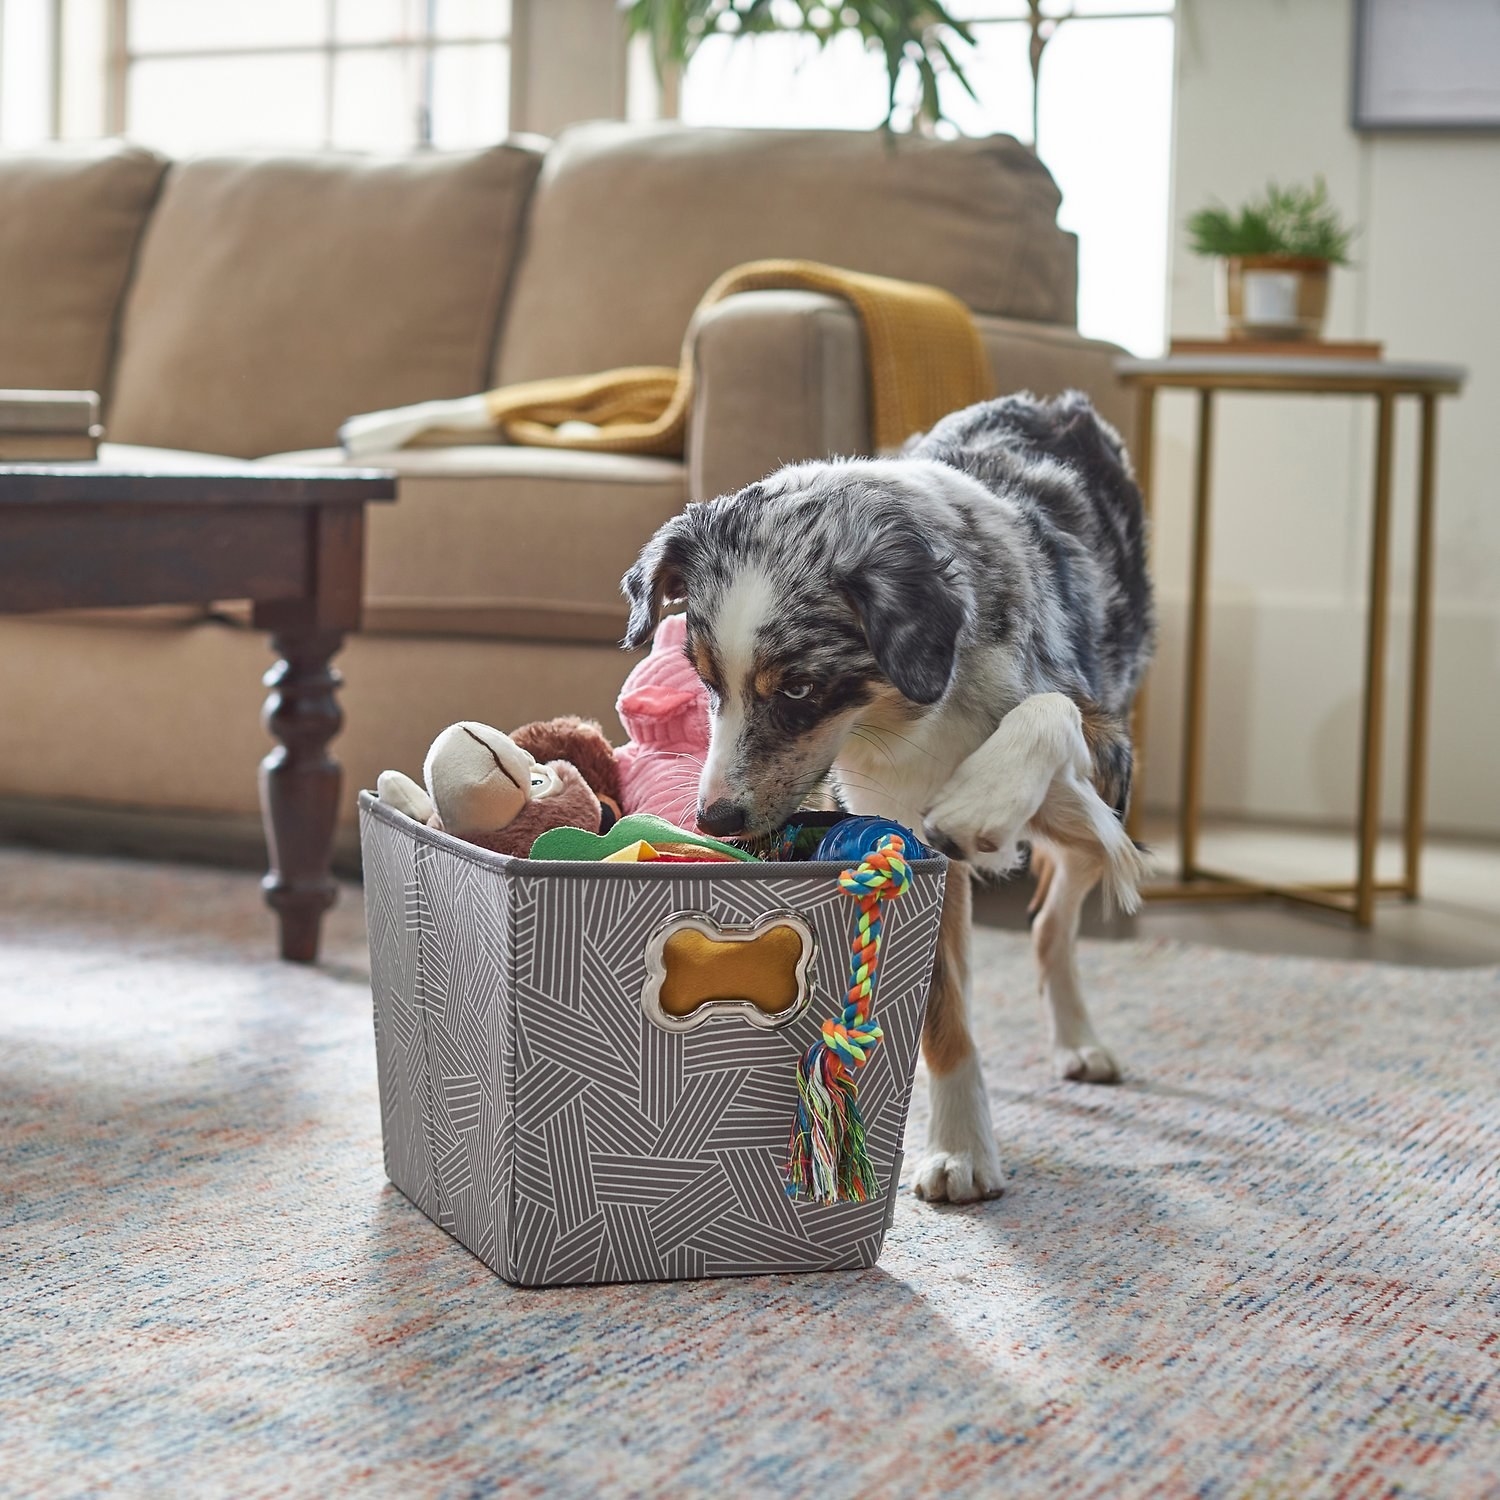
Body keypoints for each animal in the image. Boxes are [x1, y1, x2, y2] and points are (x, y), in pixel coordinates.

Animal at [615, 393, 1152, 1200]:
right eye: (704, 677)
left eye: (799, 688)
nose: (717, 819)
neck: (908, 711)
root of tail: (1060, 404)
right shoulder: (902, 828)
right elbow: (941, 1007)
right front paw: (960, 1146)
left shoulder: (1104, 741)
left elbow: (1045, 711)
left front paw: (984, 800)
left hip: (1111, 790)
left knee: (1056, 912)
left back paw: (1080, 1040)